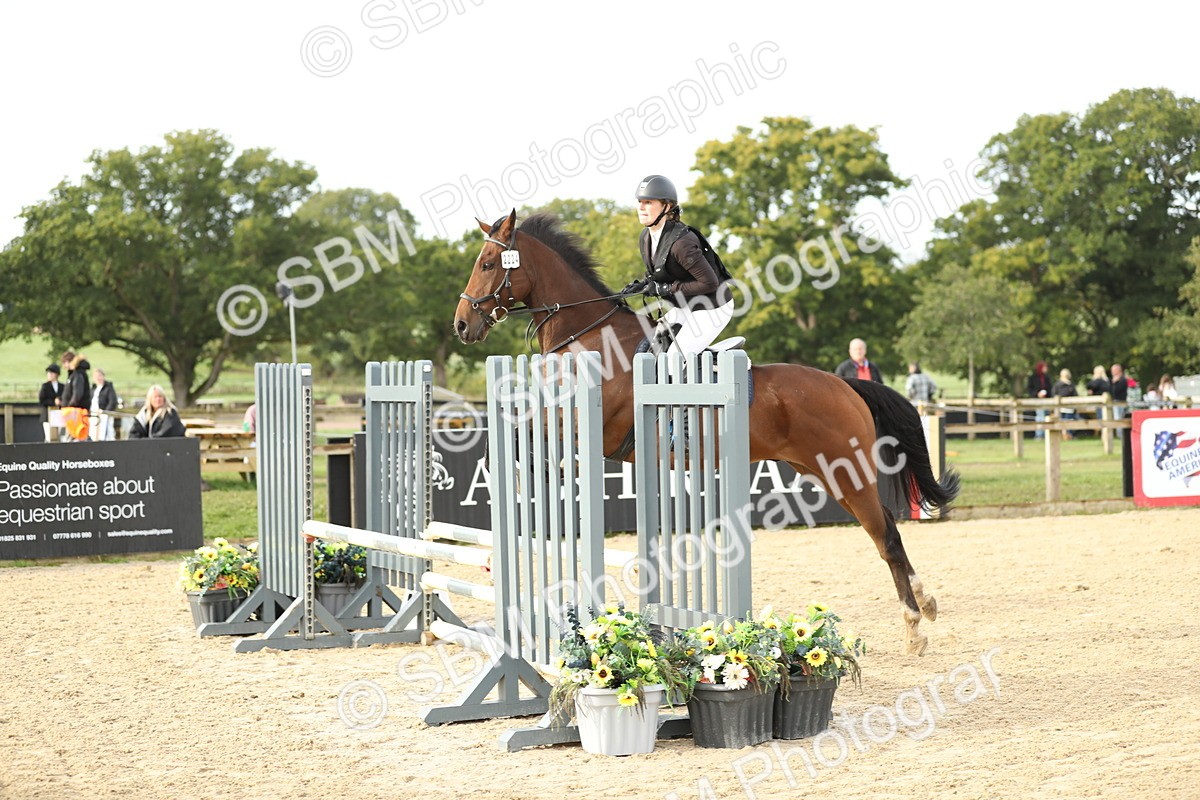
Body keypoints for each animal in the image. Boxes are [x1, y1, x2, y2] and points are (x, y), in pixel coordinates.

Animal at [453, 210, 960, 655]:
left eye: (487, 264)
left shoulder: (583, 430)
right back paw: (927, 602)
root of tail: (845, 385)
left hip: (845, 471)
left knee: (885, 537)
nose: (462, 324)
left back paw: (915, 626)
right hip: (823, 472)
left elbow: (522, 443)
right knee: (887, 526)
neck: (587, 337)